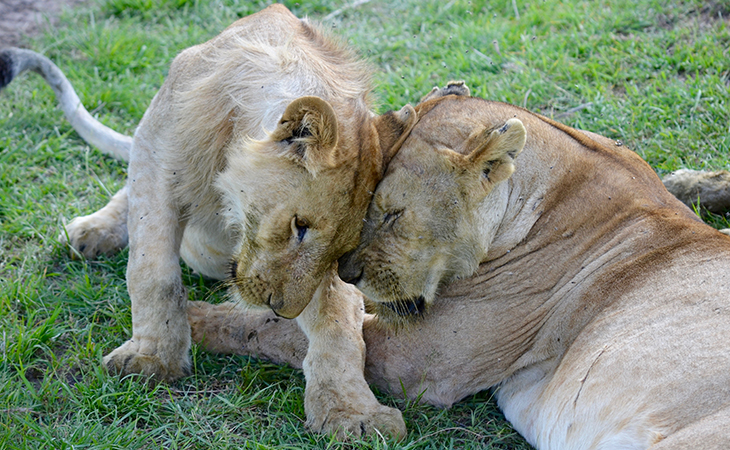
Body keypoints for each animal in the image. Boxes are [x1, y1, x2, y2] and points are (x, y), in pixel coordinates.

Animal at [0, 4, 416, 440]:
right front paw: (151, 358)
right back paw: (92, 231)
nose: (282, 310)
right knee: (125, 196)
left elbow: (338, 318)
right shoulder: (154, 156)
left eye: (341, 250)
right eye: (298, 226)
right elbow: (153, 273)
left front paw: (352, 413)